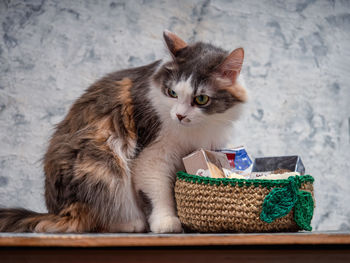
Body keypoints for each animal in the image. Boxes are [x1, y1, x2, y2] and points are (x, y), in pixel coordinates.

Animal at [0, 32, 246, 234]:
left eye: (201, 99)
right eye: (172, 93)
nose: (179, 116)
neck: (196, 129)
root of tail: (56, 211)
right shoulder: (152, 155)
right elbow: (158, 192)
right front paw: (166, 222)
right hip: (99, 160)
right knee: (88, 221)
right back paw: (132, 224)